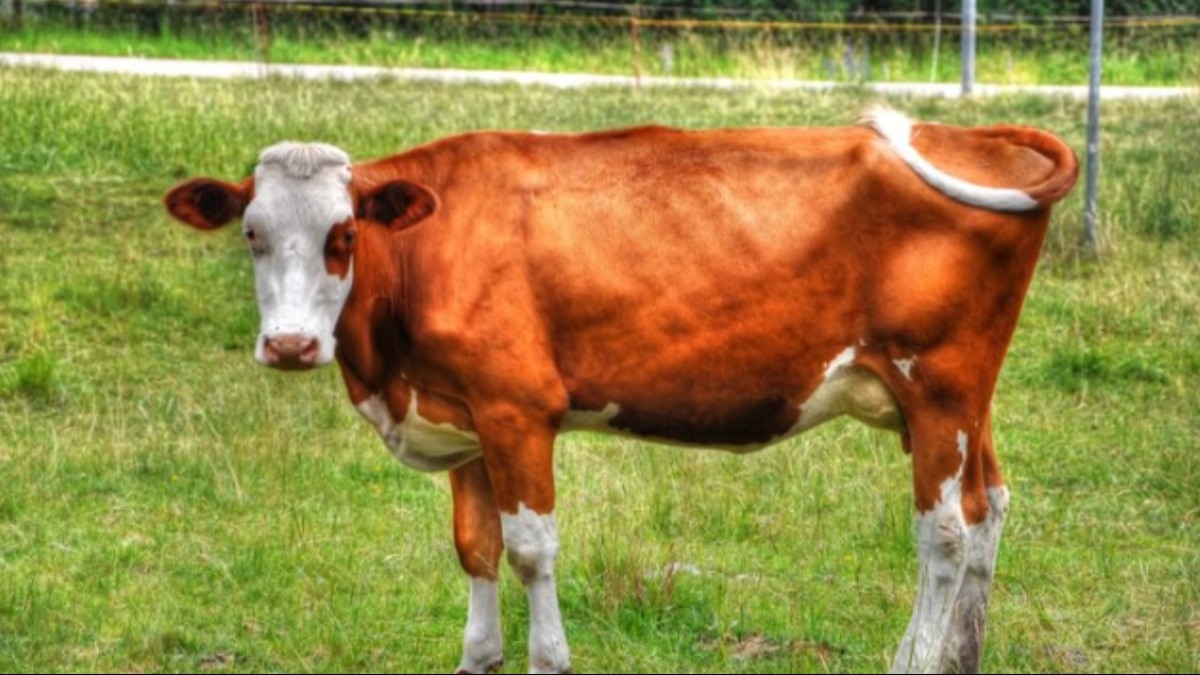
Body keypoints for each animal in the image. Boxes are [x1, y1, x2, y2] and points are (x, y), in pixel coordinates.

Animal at [164, 107, 1078, 673]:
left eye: (344, 233)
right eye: (252, 233)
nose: (290, 344)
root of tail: (964, 130)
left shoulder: (517, 411)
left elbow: (531, 550)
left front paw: (549, 655)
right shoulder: (464, 420)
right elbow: (475, 547)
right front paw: (478, 654)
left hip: (939, 386)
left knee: (944, 533)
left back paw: (917, 656)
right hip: (957, 400)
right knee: (987, 508)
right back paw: (963, 653)